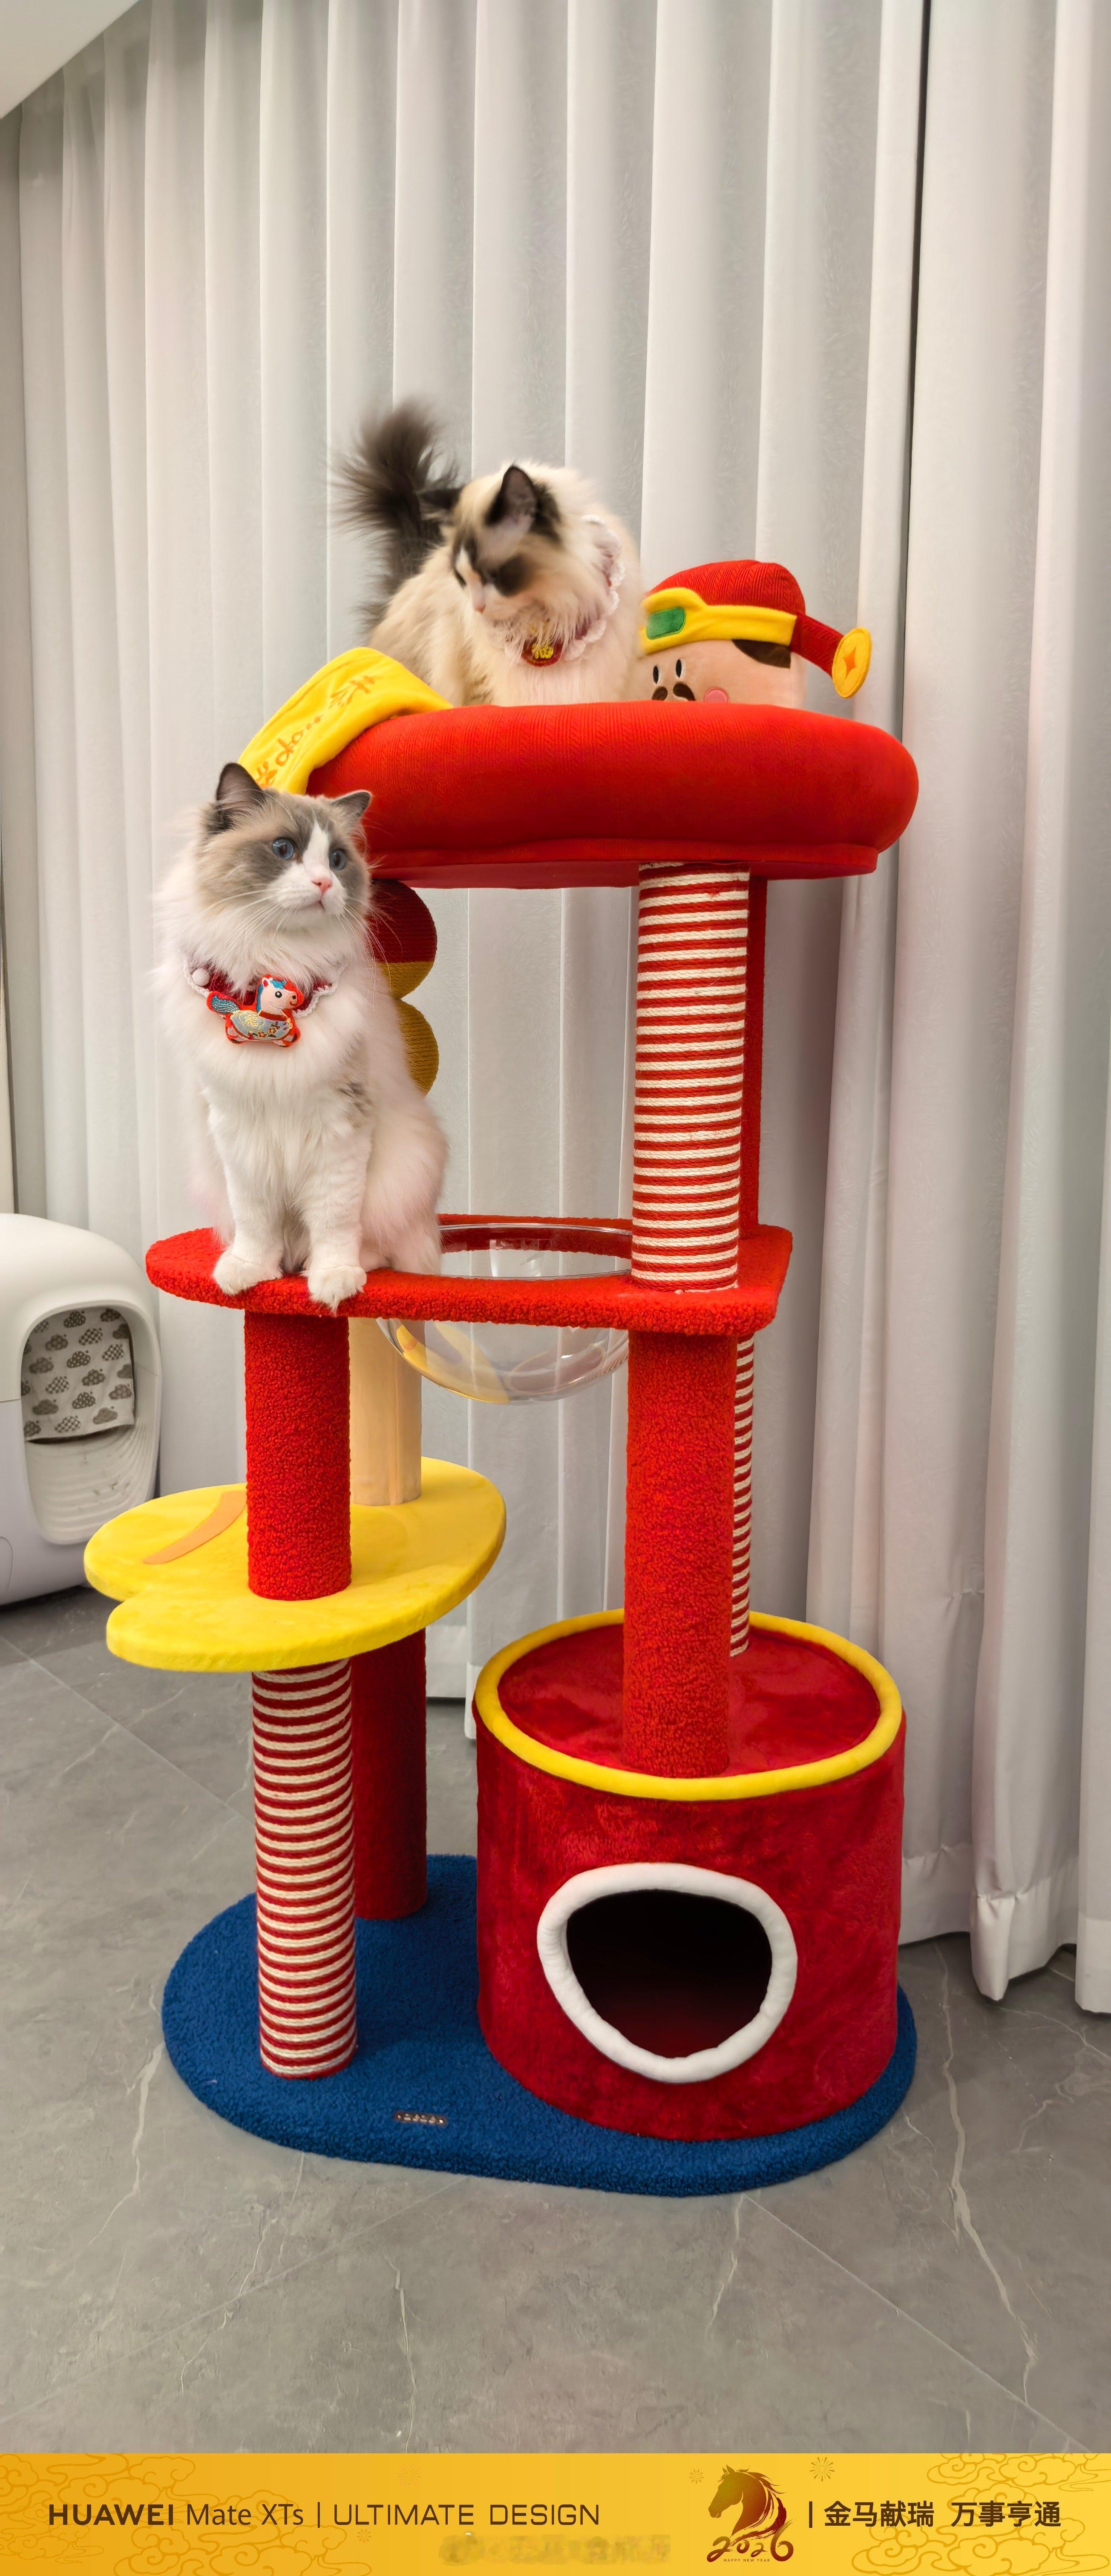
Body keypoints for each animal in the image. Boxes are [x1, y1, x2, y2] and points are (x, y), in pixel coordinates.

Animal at [157, 762, 446, 1310]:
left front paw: (331, 1282)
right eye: (283, 849)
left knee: (378, 1243)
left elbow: (333, 1221)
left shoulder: (340, 1127)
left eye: (336, 860)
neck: (277, 963)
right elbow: (256, 1223)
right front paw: (250, 1274)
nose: (323, 882)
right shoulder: (239, 1133)